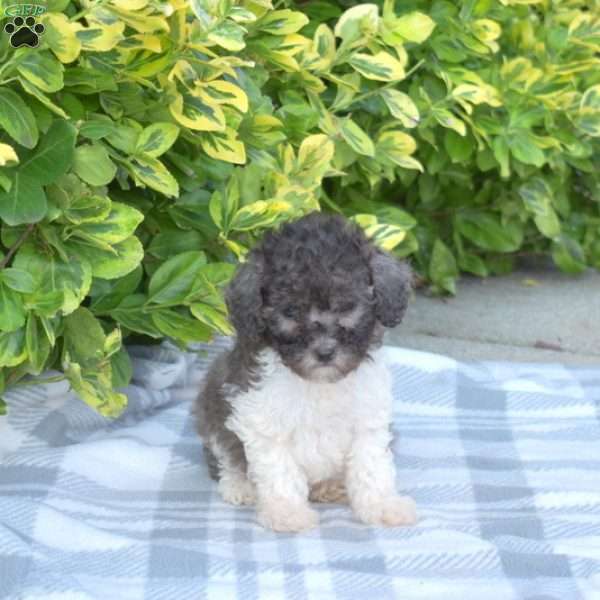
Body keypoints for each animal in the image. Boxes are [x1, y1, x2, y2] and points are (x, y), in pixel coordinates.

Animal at [197, 213, 418, 532]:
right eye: (290, 311)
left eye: (347, 306)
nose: (324, 352)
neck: (320, 384)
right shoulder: (261, 419)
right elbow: (280, 471)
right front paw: (286, 512)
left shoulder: (368, 421)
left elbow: (371, 467)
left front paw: (382, 505)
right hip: (211, 412)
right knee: (226, 457)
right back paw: (239, 486)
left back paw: (329, 486)